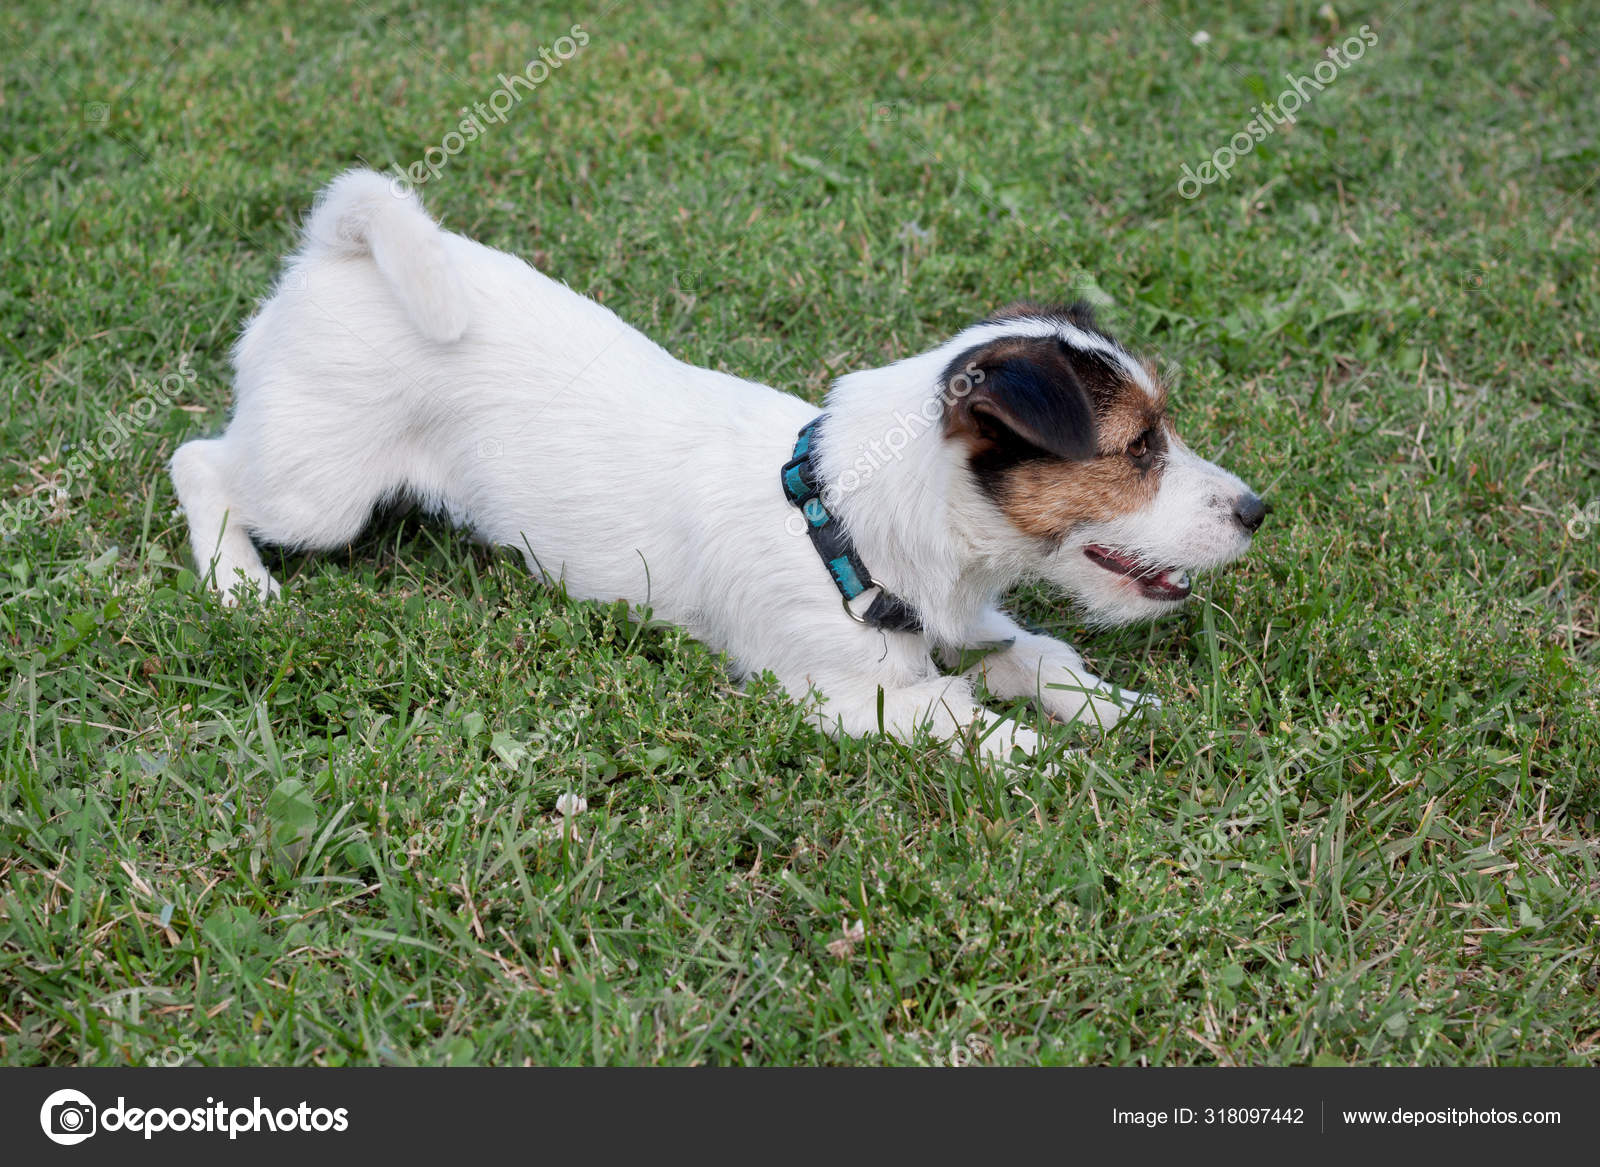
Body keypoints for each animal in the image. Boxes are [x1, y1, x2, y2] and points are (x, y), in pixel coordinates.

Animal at [165, 168, 1260, 758]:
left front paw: (1111, 711)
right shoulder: (834, 692)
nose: (1257, 510)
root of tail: (338, 254)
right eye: (1138, 450)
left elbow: (1038, 658)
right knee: (198, 463)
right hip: (319, 492)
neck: (846, 521)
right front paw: (1046, 756)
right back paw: (237, 582)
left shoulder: (976, 625)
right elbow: (962, 717)